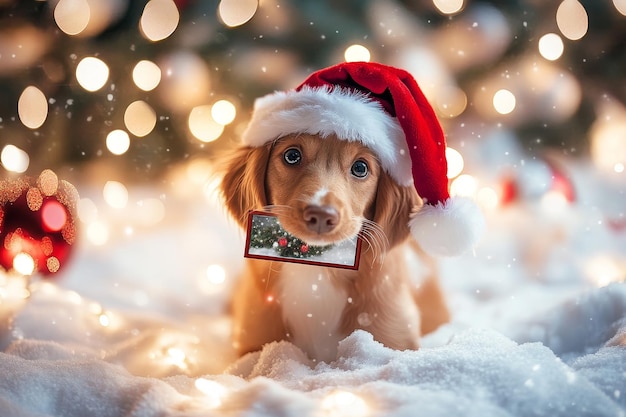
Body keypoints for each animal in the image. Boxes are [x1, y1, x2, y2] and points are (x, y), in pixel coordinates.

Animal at [219, 133, 448, 360]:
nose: (321, 215)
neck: (316, 266)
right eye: (292, 156)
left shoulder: (392, 341)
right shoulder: (254, 346)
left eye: (360, 168)